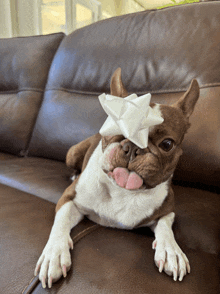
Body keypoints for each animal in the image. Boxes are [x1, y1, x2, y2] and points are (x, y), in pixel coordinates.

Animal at [34, 67, 199, 288]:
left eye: (167, 144)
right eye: (114, 128)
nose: (134, 147)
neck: (123, 191)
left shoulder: (168, 209)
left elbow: (166, 226)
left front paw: (171, 250)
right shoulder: (69, 199)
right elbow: (60, 224)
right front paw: (54, 255)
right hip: (72, 153)